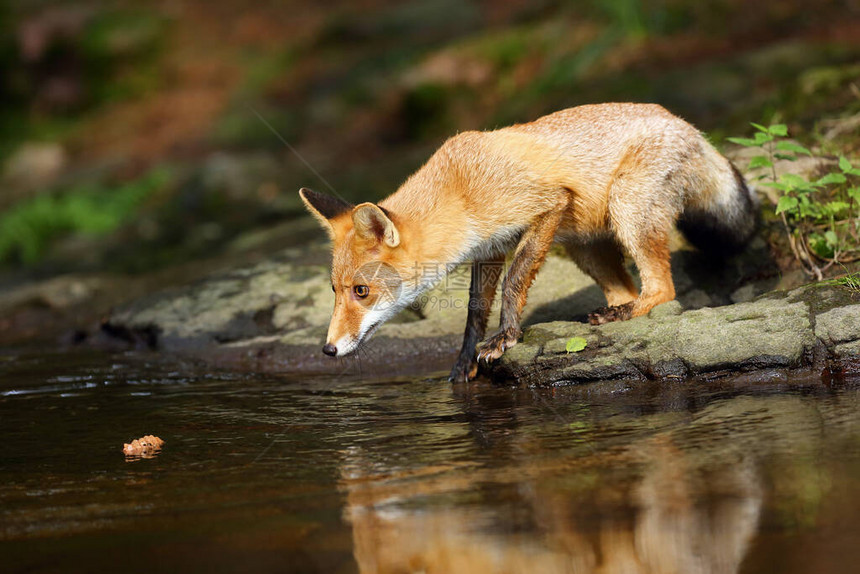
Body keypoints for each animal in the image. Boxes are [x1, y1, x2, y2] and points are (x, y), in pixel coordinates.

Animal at [298, 104, 756, 382]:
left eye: (362, 291)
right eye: (335, 290)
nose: (328, 349)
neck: (461, 191)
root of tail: (688, 126)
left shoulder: (547, 206)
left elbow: (515, 282)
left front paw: (506, 337)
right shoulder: (488, 249)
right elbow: (475, 310)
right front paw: (464, 362)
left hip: (627, 209)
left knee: (662, 288)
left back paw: (627, 311)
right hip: (585, 246)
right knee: (628, 288)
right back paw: (614, 312)